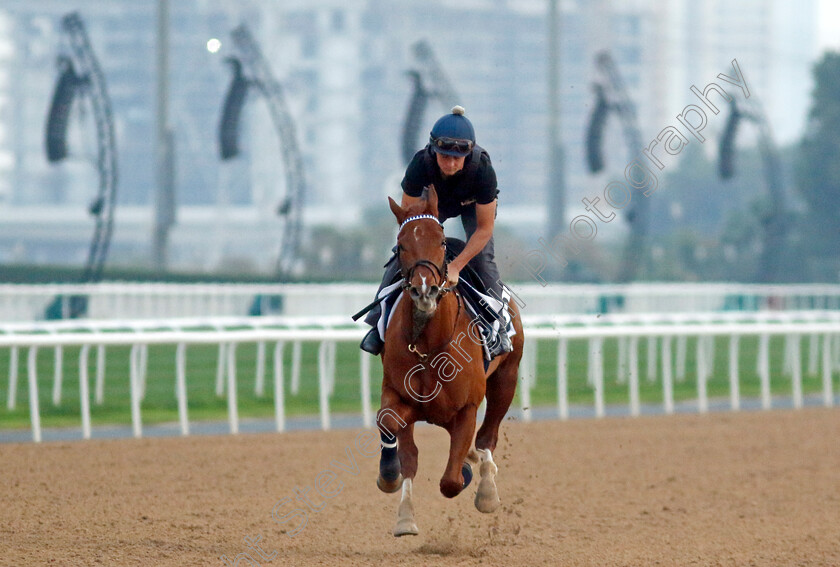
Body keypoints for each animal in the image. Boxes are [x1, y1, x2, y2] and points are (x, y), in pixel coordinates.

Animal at [376, 186, 524, 536]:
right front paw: (396, 493)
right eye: (401, 245)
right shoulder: (399, 394)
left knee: (487, 436)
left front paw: (468, 473)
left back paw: (486, 490)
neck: (429, 344)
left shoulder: (466, 407)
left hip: (506, 378)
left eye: (441, 241)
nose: (424, 290)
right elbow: (393, 429)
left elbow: (451, 481)